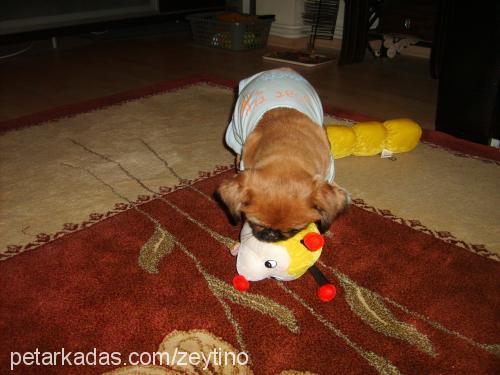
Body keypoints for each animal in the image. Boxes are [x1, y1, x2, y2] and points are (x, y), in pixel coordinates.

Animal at [217, 69, 350, 242]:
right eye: (254, 223)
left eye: (295, 230)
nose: (272, 235)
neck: (287, 150)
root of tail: (279, 70)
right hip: (235, 130)